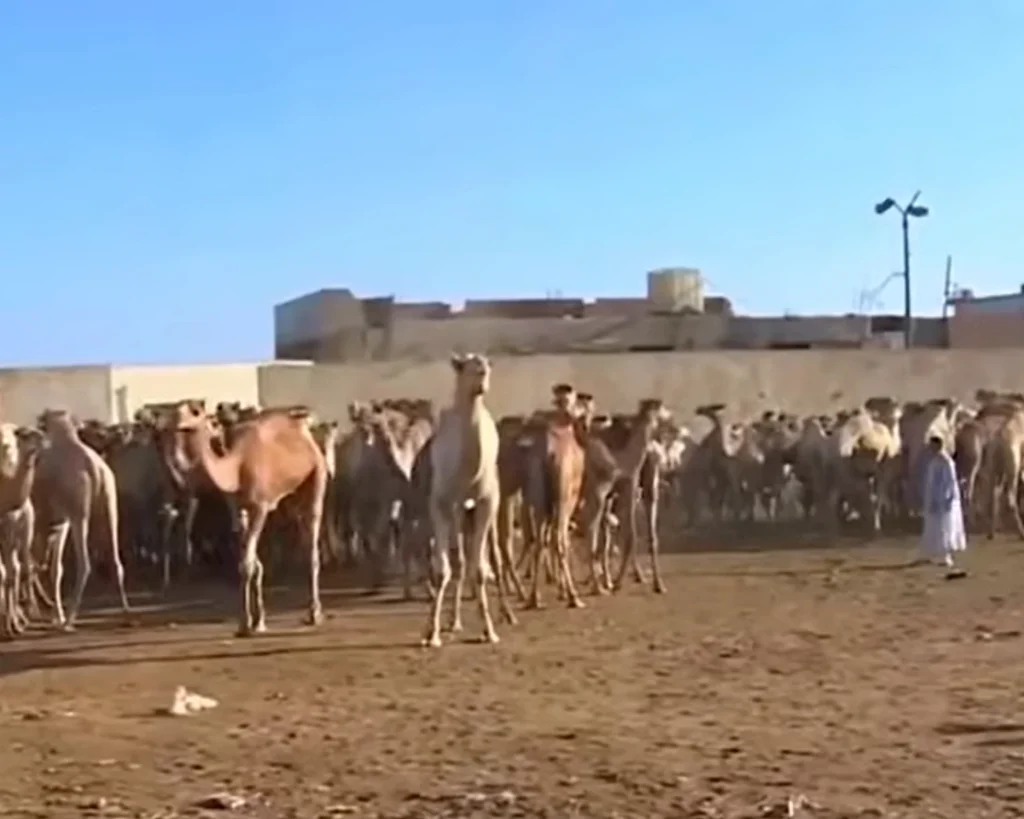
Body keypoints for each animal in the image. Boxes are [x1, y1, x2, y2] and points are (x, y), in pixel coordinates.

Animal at [35, 410, 130, 630]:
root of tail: (96, 468)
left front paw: (53, 613)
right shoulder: (60, 522)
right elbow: (54, 569)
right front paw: (55, 614)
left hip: (79, 513)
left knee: (84, 562)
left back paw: (69, 618)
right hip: (109, 504)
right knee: (116, 560)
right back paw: (126, 615)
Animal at [172, 401, 328, 635]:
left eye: (195, 412)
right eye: (177, 410)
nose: (177, 421)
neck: (235, 468)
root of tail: (304, 429)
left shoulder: (259, 507)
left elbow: (246, 564)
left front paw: (245, 624)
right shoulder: (238, 510)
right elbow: (251, 563)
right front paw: (257, 621)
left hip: (317, 474)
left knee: (312, 542)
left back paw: (314, 614)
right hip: (289, 499)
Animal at [423, 353, 515, 647]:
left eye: (485, 366)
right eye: (464, 366)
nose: (482, 380)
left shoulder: (487, 502)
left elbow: (480, 569)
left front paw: (489, 631)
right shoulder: (440, 502)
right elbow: (443, 569)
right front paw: (431, 634)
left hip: (479, 508)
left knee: (487, 557)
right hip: (457, 511)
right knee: (460, 561)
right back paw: (453, 622)